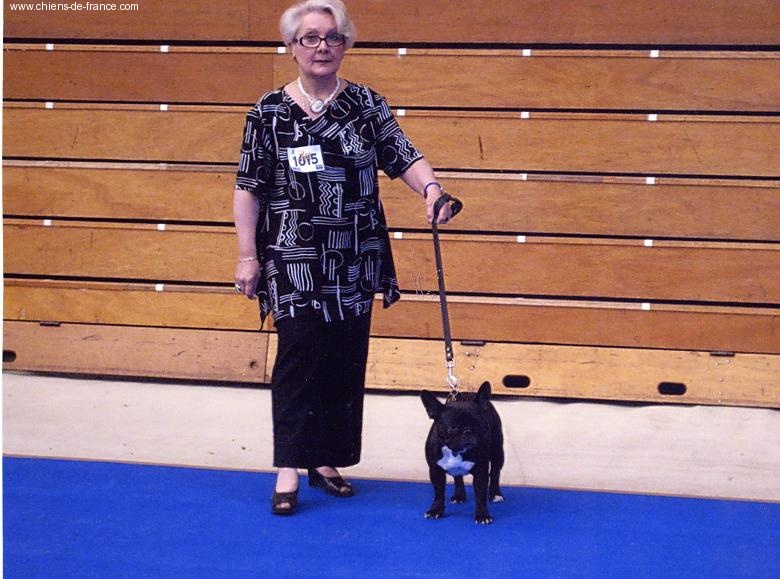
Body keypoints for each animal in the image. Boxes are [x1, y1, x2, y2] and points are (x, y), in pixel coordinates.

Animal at [421, 381, 505, 524]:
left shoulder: (481, 472)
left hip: (498, 452)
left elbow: (480, 495)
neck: (456, 451)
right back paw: (459, 495)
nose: (468, 431)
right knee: (458, 477)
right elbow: (438, 493)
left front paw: (482, 515)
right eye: (452, 427)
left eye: (479, 424)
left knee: (495, 473)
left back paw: (495, 494)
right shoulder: (435, 471)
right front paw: (436, 510)